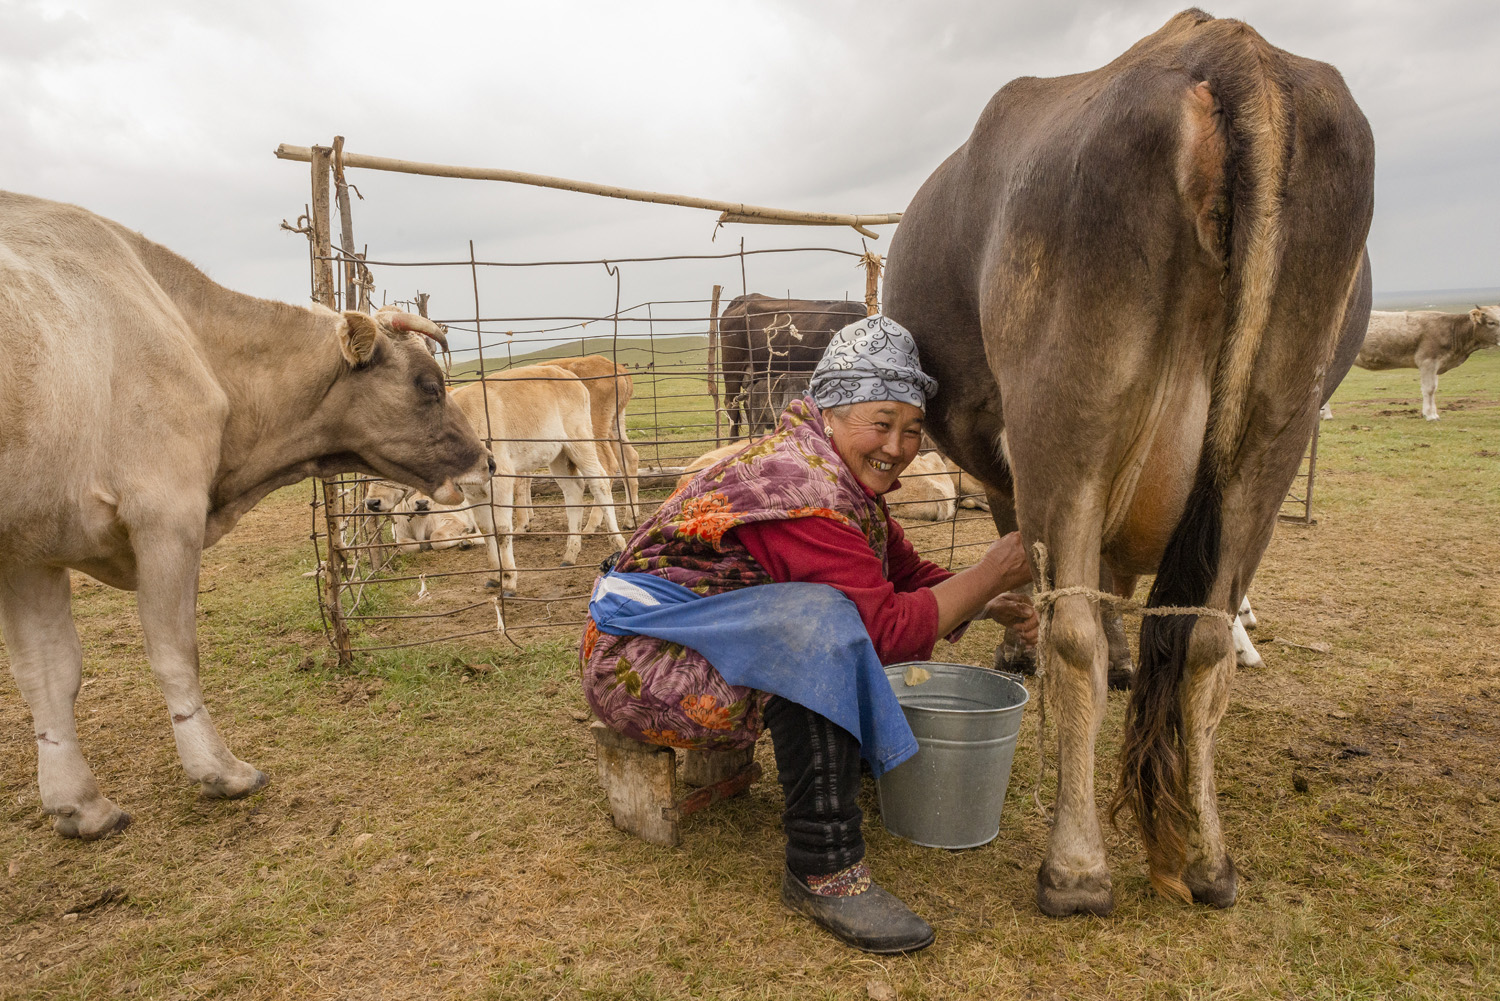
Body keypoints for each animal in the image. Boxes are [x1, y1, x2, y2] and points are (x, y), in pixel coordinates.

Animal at [882, 9, 1374, 918]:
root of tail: (1229, 44)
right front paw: (1113, 655)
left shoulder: (1015, 459)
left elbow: (1041, 567)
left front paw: (1027, 647)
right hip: (1274, 429)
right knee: (1209, 635)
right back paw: (1211, 862)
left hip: (1066, 407)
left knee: (1075, 621)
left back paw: (1075, 867)